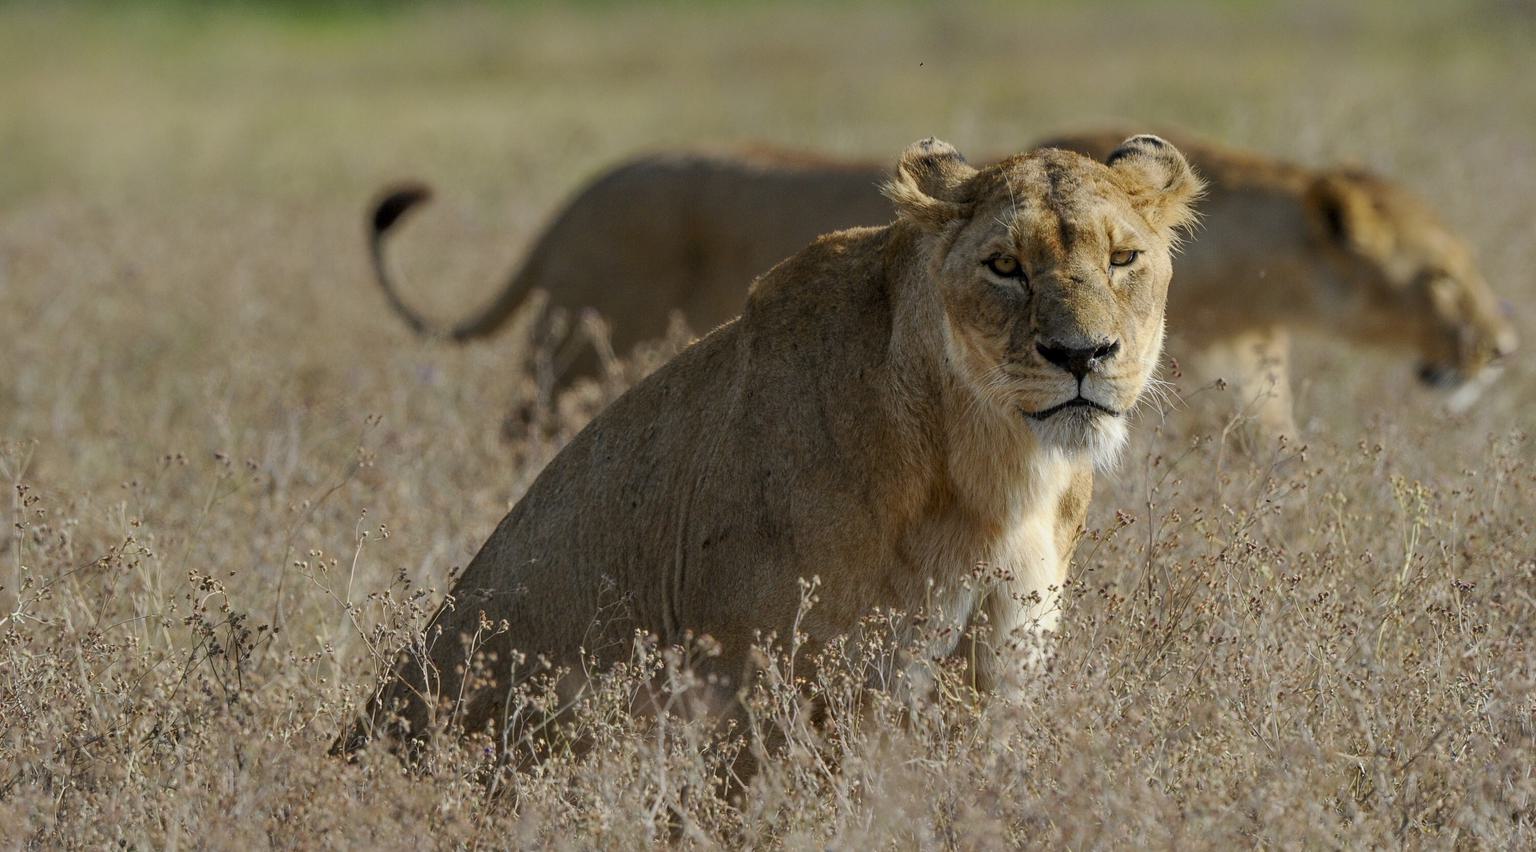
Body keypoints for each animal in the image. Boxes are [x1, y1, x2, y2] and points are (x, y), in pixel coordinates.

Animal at [351, 135, 1203, 751]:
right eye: (1004, 266)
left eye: (1123, 259)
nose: (1082, 355)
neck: (993, 471)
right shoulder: (766, 684)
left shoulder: (999, 669)